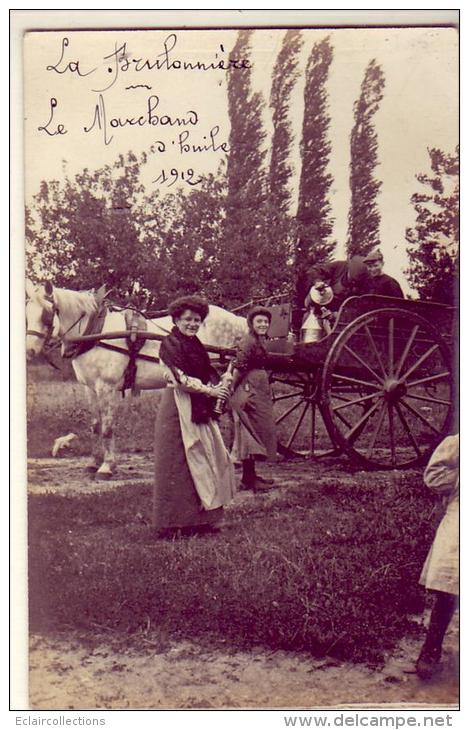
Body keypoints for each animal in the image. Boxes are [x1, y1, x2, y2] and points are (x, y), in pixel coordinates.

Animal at [25, 280, 247, 478]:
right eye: (27, 313)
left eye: (47, 313)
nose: (30, 351)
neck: (95, 332)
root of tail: (238, 321)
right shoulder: (90, 388)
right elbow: (95, 426)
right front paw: (93, 463)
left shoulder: (106, 387)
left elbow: (107, 427)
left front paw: (107, 467)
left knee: (237, 419)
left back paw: (235, 457)